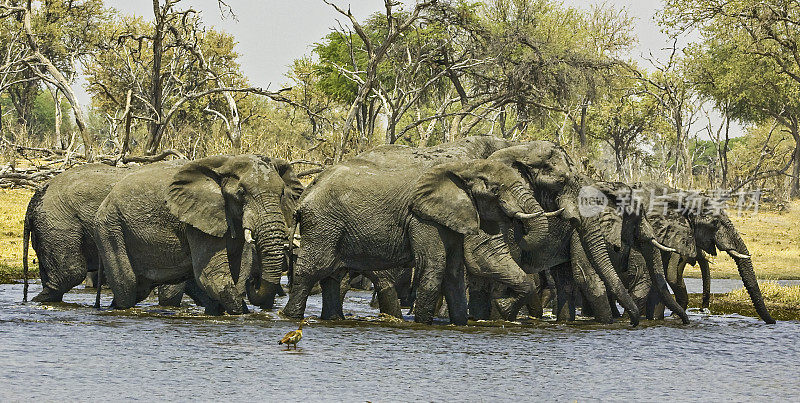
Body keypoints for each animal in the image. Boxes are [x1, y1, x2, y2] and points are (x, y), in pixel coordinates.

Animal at [95, 155, 302, 316]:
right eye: (241, 193)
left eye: (282, 193)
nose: (253, 282)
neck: (227, 163)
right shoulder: (196, 223)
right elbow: (212, 276)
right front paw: (241, 313)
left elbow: (232, 273)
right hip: (110, 228)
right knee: (127, 285)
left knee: (138, 289)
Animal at [278, 144, 548, 326]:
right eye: (495, 190)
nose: (504, 306)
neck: (463, 167)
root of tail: (305, 196)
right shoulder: (422, 217)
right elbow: (435, 267)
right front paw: (423, 324)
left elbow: (453, 273)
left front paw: (460, 323)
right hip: (323, 224)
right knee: (313, 269)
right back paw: (290, 316)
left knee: (332, 275)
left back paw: (333, 318)